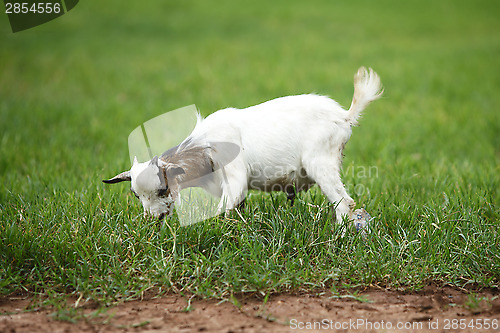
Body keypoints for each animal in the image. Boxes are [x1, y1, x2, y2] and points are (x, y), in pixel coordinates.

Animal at [102, 67, 382, 223]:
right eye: (136, 195)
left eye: (163, 190)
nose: (154, 219)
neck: (204, 146)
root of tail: (344, 116)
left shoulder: (233, 176)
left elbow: (224, 207)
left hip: (321, 163)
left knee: (344, 203)